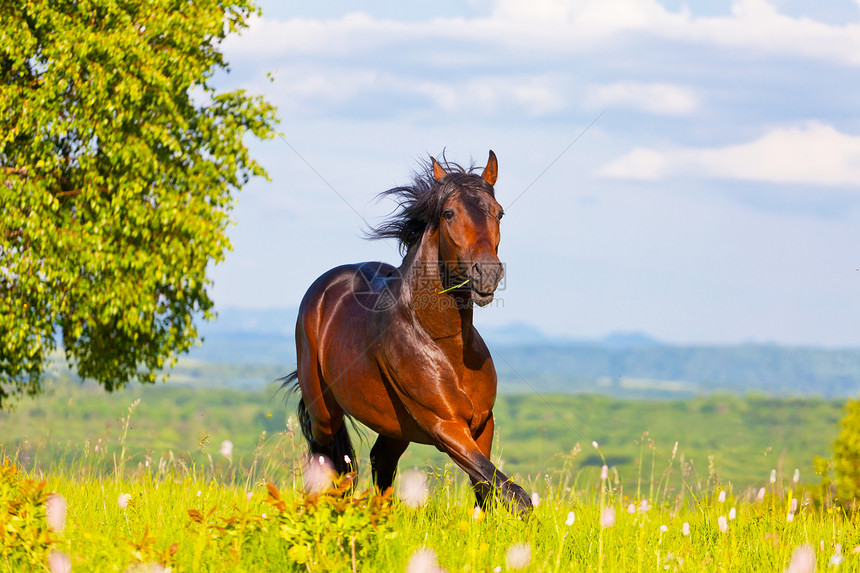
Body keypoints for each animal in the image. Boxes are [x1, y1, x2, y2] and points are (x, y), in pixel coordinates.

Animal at [282, 150, 536, 512]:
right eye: (448, 213)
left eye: (498, 212)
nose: (487, 273)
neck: (444, 343)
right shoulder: (445, 426)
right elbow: (511, 491)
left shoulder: (482, 424)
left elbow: (487, 488)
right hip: (324, 413)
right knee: (326, 460)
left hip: (394, 427)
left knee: (380, 461)